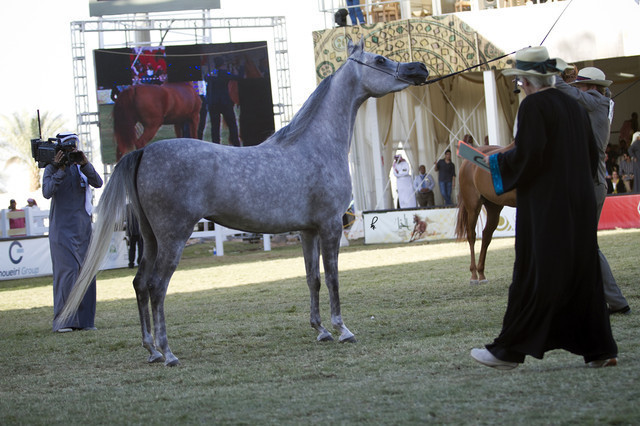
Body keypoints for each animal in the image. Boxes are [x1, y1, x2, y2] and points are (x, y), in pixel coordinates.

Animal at [56, 39, 429, 366]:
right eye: (379, 59)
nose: (419, 68)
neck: (315, 145)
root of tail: (144, 151)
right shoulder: (330, 226)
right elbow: (333, 277)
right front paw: (342, 329)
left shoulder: (307, 231)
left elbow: (313, 279)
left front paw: (321, 330)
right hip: (173, 238)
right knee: (157, 287)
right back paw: (168, 353)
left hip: (150, 238)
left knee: (139, 284)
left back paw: (151, 350)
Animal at [455, 144, 516, 285]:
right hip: (473, 207)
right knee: (472, 235)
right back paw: (474, 275)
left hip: (494, 208)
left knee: (486, 235)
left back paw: (481, 273)